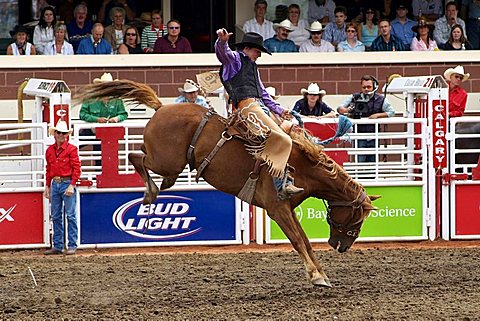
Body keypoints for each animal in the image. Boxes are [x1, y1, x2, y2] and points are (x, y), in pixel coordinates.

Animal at [77, 80, 378, 288]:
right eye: (357, 217)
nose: (342, 246)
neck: (300, 165)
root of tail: (163, 107)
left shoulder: (288, 208)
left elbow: (304, 239)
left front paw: (322, 274)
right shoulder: (276, 208)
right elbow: (296, 240)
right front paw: (316, 275)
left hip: (168, 165)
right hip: (165, 161)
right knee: (135, 157)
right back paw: (151, 192)